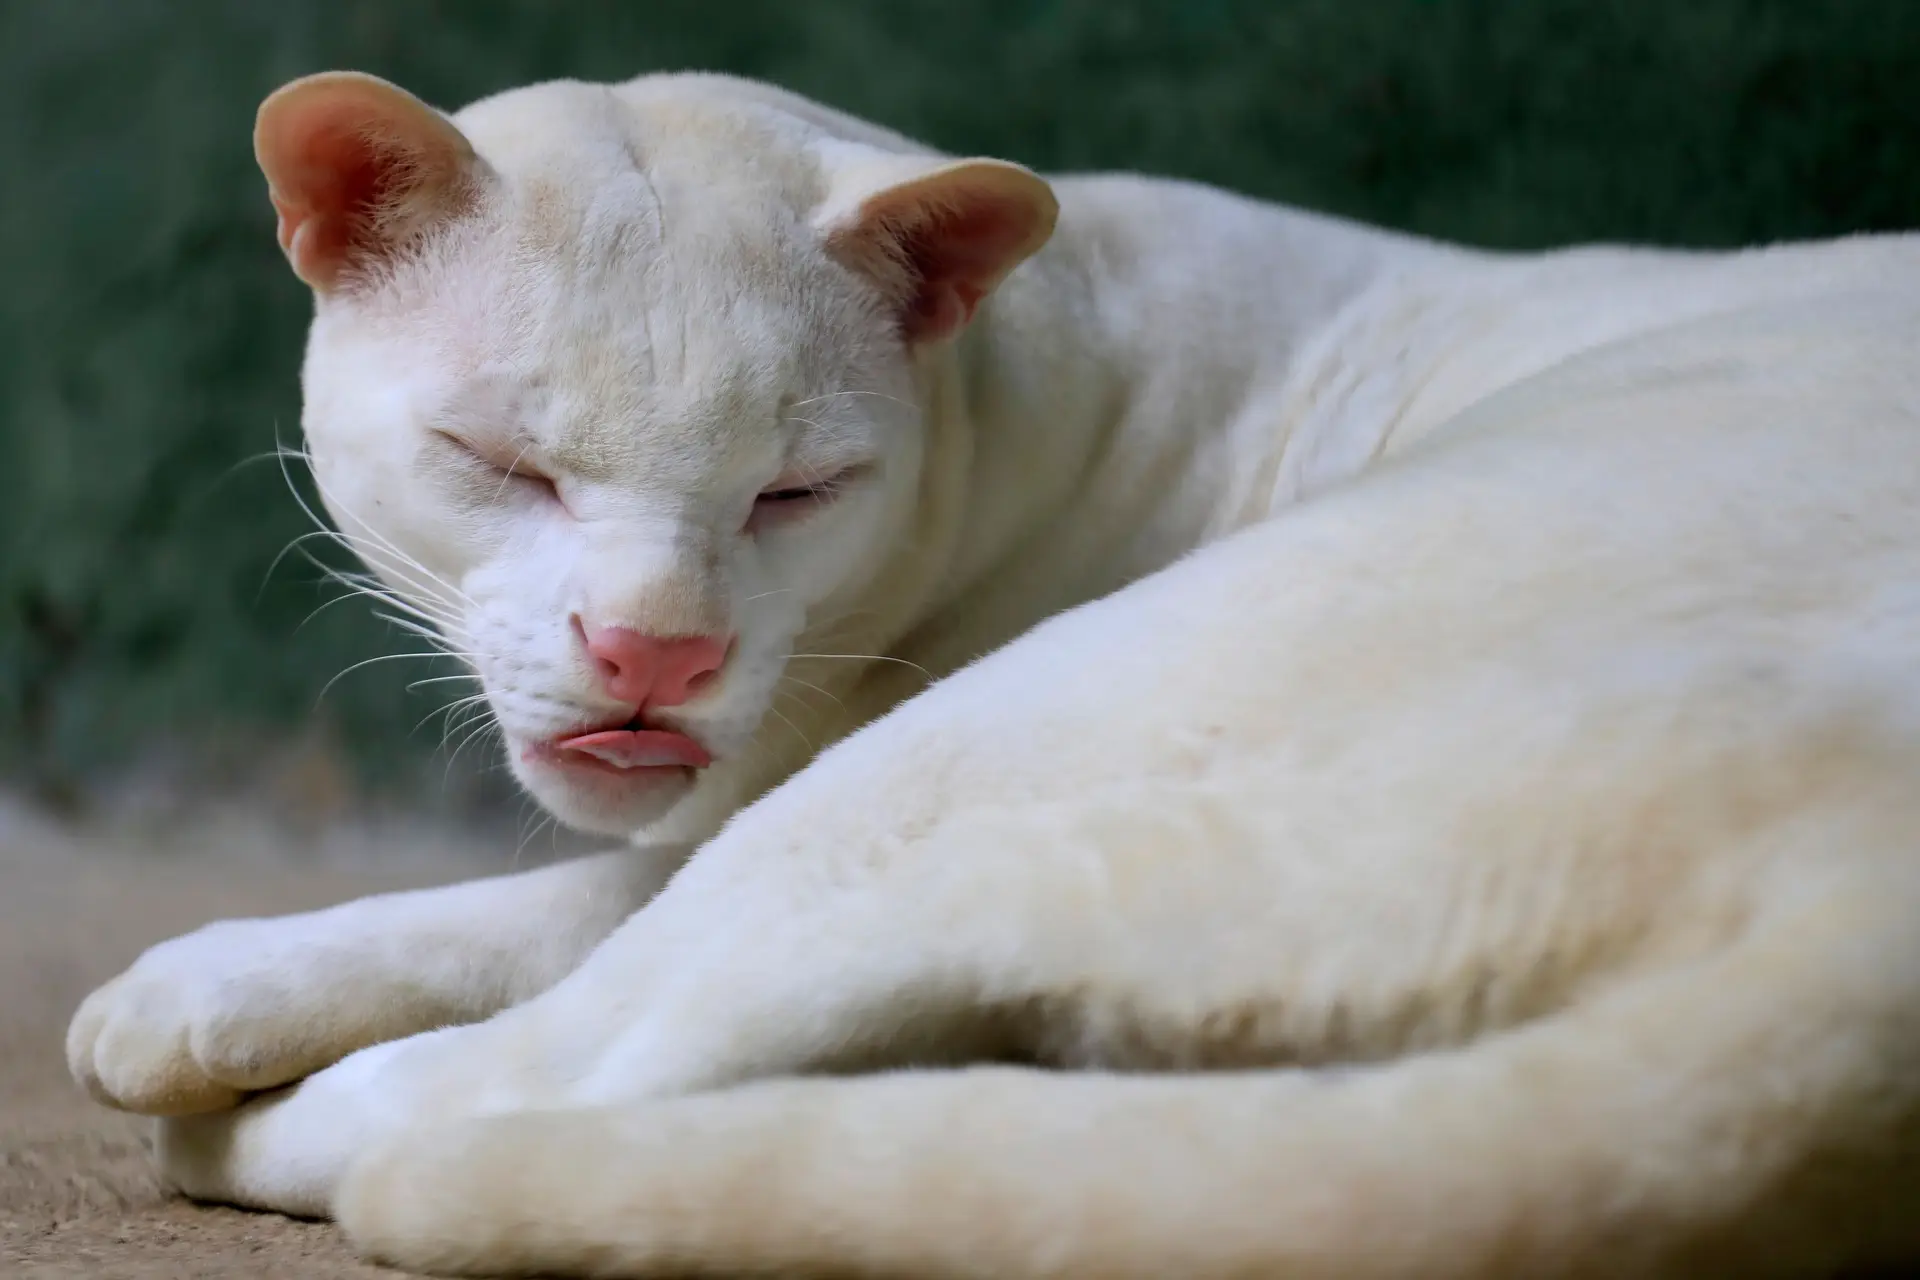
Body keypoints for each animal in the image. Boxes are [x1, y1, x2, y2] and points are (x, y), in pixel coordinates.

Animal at [67, 72, 1920, 1280]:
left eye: (796, 493)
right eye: (502, 463)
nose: (658, 648)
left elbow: (570, 901)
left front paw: (201, 995)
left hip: (1043, 727)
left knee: (562, 1063)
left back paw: (218, 1101)